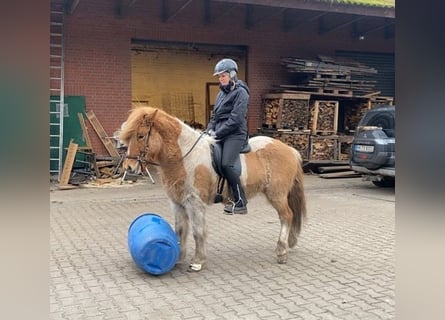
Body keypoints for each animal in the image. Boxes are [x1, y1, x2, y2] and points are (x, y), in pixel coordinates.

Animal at [118, 106, 306, 272]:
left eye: (141, 136)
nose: (129, 168)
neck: (184, 157)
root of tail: (290, 150)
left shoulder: (195, 203)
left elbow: (198, 231)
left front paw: (197, 261)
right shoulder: (177, 203)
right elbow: (180, 230)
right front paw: (178, 258)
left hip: (277, 195)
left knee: (287, 216)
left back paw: (281, 252)